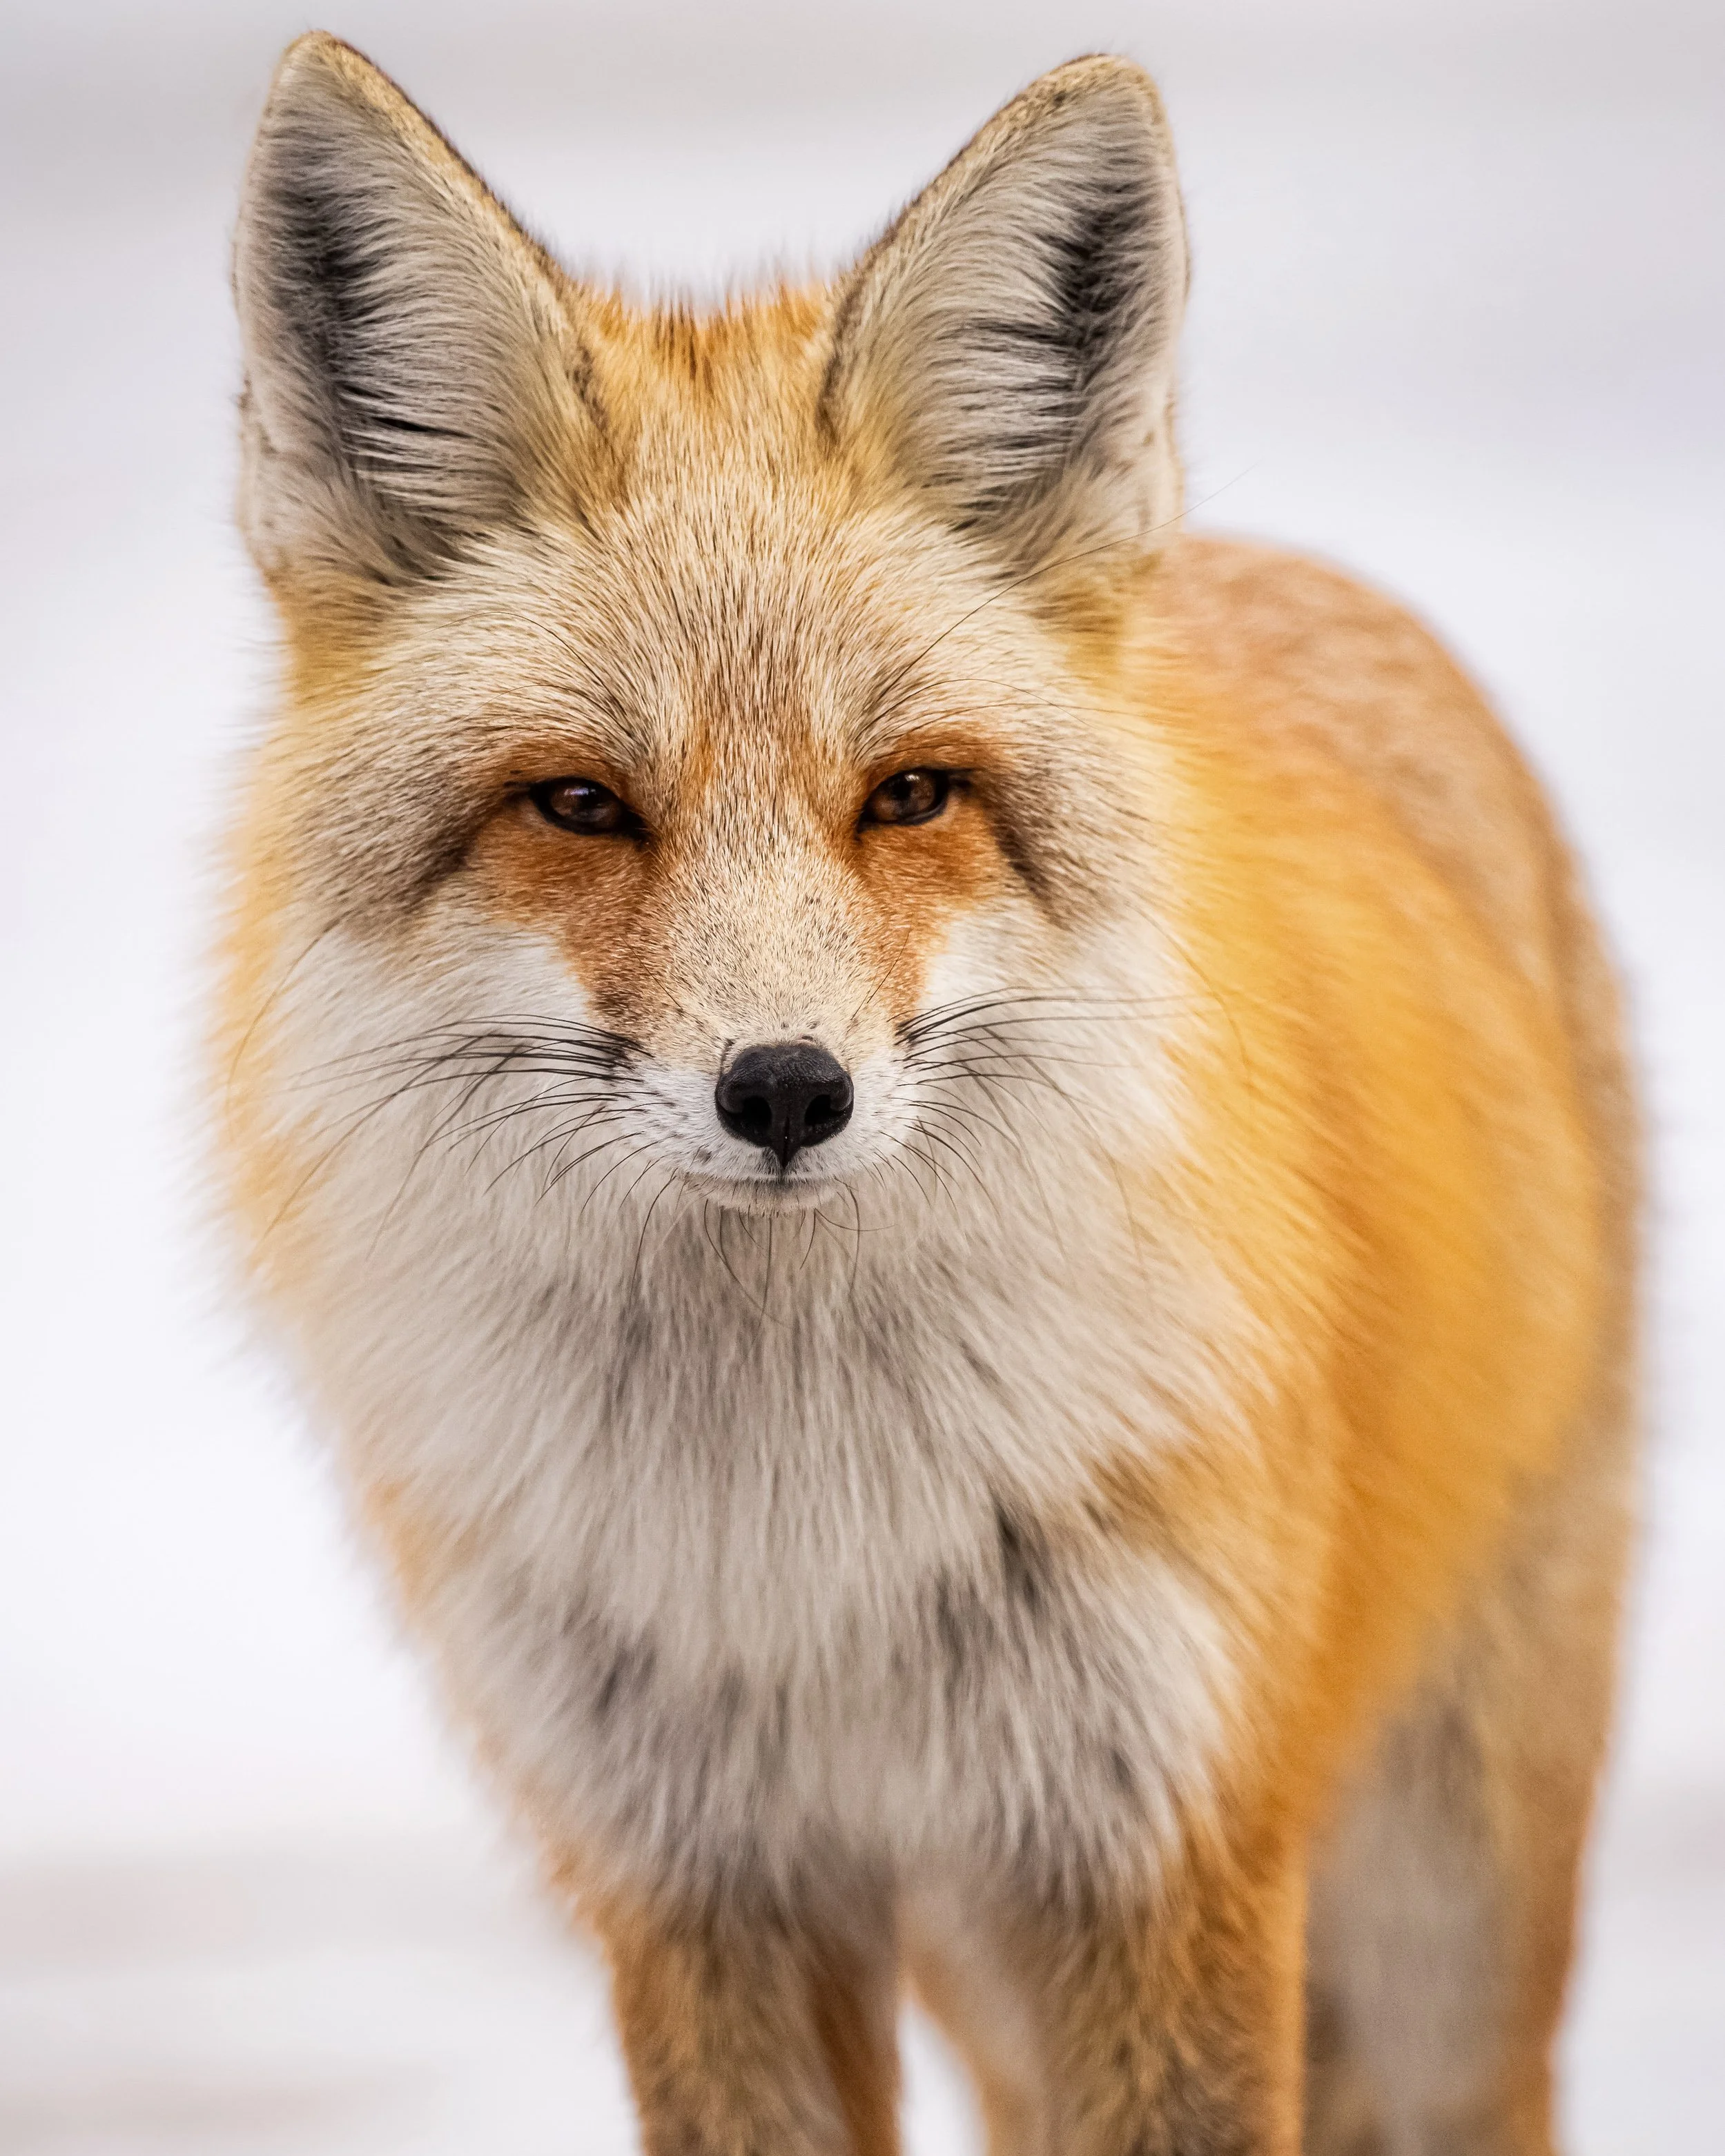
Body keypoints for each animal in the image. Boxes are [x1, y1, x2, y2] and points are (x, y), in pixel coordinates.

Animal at [215, 31, 1638, 2156]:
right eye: (580, 804)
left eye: (909, 794)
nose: (786, 1089)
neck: (808, 1538)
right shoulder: (704, 1880)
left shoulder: (1157, 1846)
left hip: (1438, 1924)